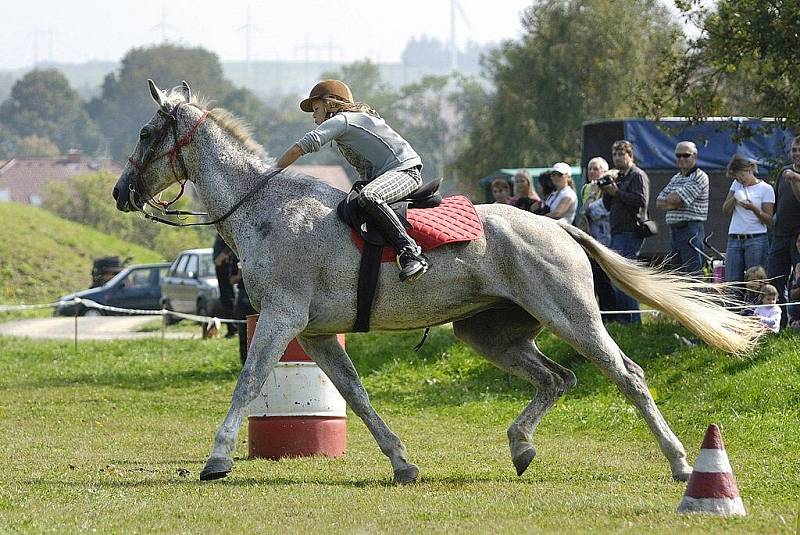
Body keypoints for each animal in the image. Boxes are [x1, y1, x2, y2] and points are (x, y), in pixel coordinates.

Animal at [112, 80, 764, 486]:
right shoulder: (317, 335)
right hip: (491, 333)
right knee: (558, 378)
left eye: (144, 135)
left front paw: (217, 459)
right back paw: (521, 447)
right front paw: (402, 464)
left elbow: (248, 384)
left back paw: (682, 465)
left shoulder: (281, 319)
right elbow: (356, 397)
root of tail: (560, 226)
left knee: (626, 374)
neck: (263, 207)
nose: (120, 192)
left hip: (572, 316)